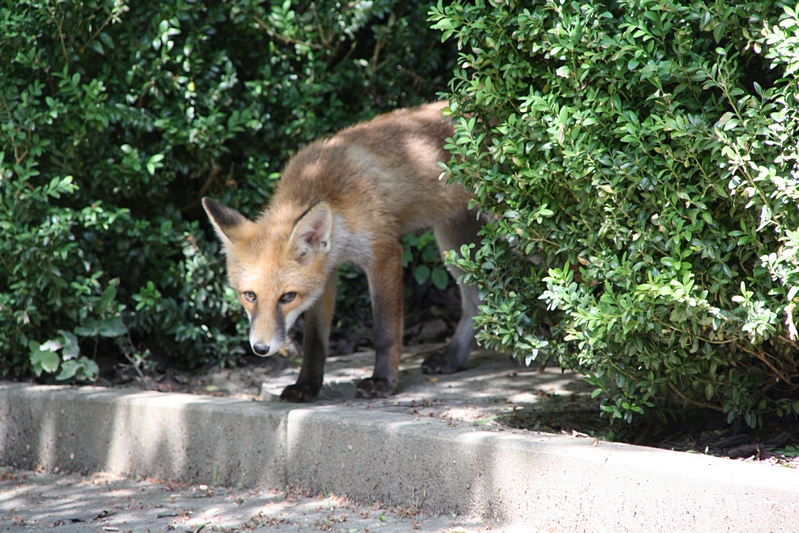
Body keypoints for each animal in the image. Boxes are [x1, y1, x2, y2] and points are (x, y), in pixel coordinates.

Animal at [202, 102, 483, 402]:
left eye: (287, 297)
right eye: (249, 295)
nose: (261, 348)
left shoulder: (384, 253)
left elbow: (384, 332)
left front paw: (382, 381)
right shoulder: (325, 274)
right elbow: (315, 341)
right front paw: (306, 385)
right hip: (455, 245)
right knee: (476, 302)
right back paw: (453, 358)